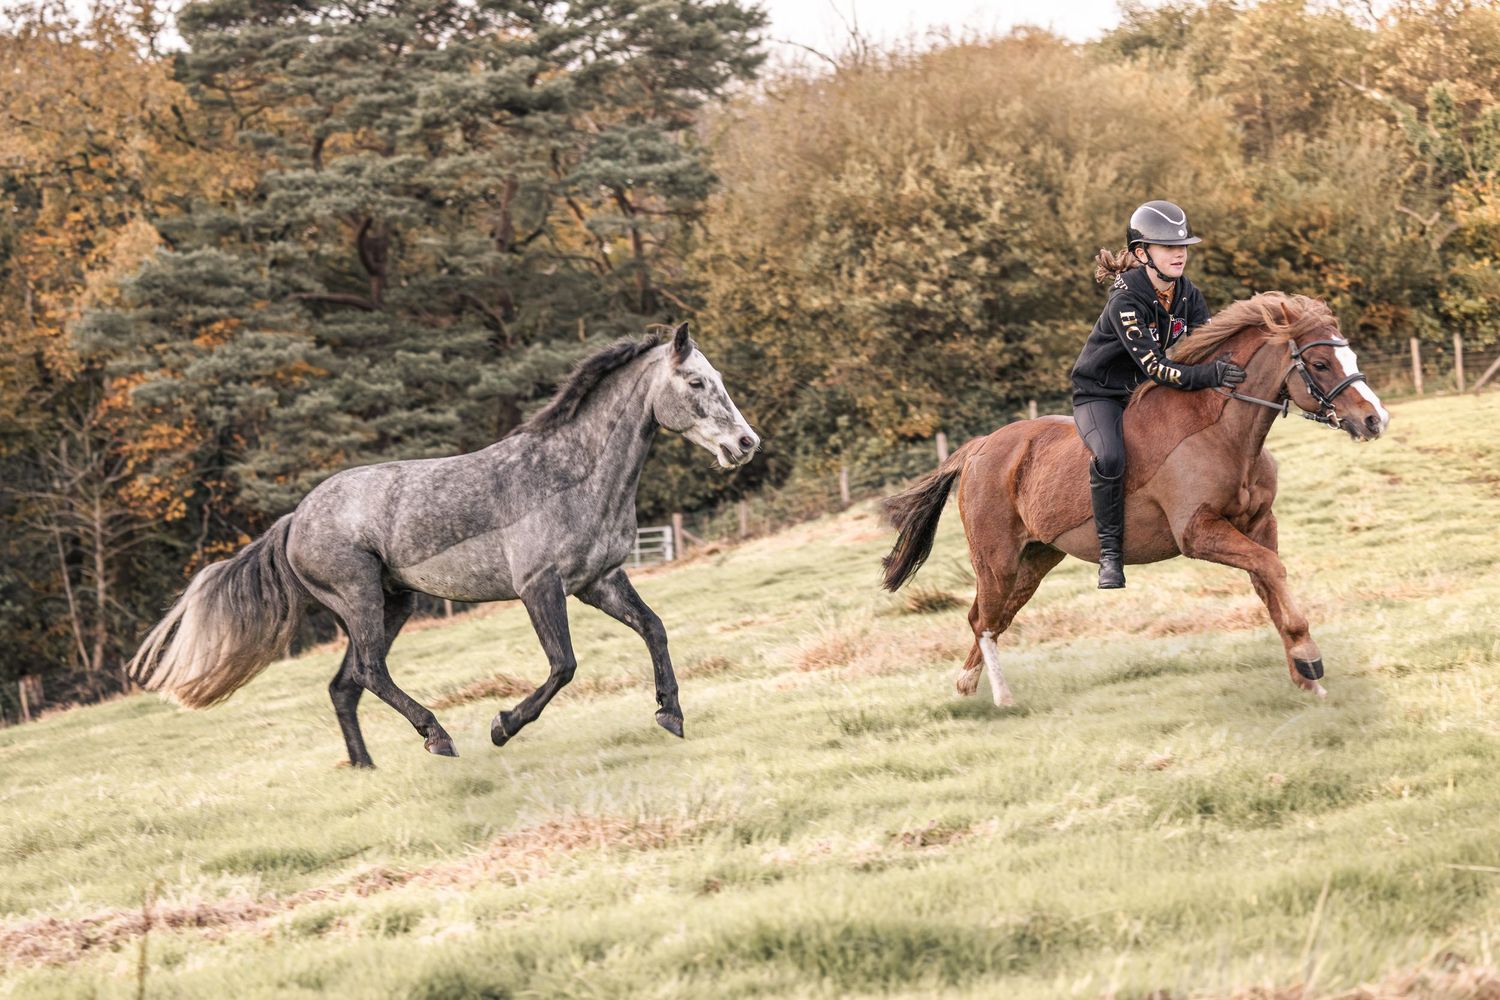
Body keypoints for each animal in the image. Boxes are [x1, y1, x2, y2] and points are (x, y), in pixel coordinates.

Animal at [130, 323, 759, 767]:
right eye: (696, 382)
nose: (745, 444)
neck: (569, 474)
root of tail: (293, 520)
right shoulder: (540, 588)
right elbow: (563, 665)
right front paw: (502, 726)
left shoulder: (598, 581)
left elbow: (654, 628)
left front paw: (670, 715)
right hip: (359, 597)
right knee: (369, 673)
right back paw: (439, 737)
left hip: (394, 603)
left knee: (346, 684)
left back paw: (367, 768)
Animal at [881, 292, 1389, 705]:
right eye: (1320, 364)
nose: (1375, 419)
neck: (1224, 431)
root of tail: (980, 447)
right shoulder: (1198, 533)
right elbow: (1273, 572)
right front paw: (1308, 654)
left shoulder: (1259, 524)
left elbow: (1270, 587)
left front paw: (1305, 678)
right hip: (997, 558)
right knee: (985, 621)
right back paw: (1003, 698)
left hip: (1036, 559)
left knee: (987, 617)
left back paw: (967, 686)